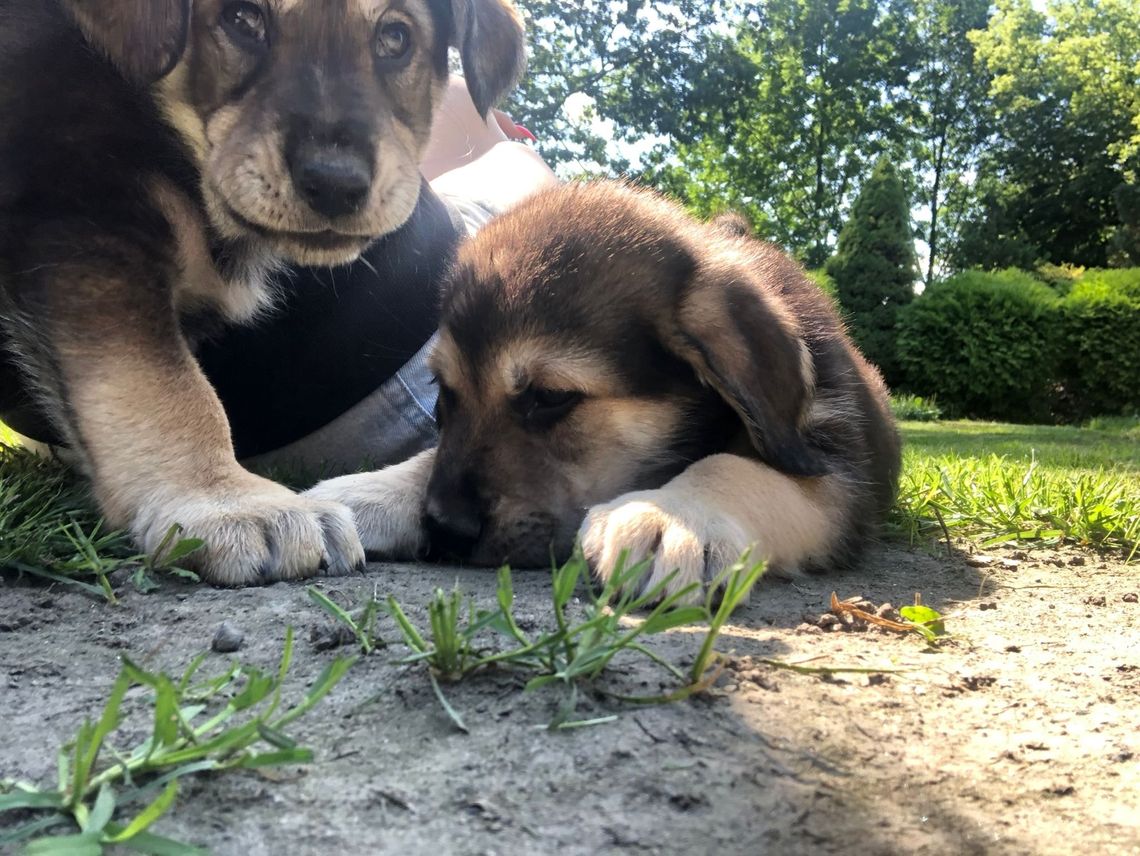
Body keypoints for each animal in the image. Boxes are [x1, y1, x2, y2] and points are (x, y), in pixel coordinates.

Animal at [0, 0, 524, 588]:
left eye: (396, 38)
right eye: (241, 19)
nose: (336, 185)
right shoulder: (89, 212)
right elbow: (161, 385)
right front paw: (224, 502)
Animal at [310, 180, 898, 597]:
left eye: (550, 397)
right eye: (443, 393)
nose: (446, 530)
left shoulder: (838, 470)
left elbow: (735, 467)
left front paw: (671, 513)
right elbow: (429, 456)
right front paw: (367, 492)